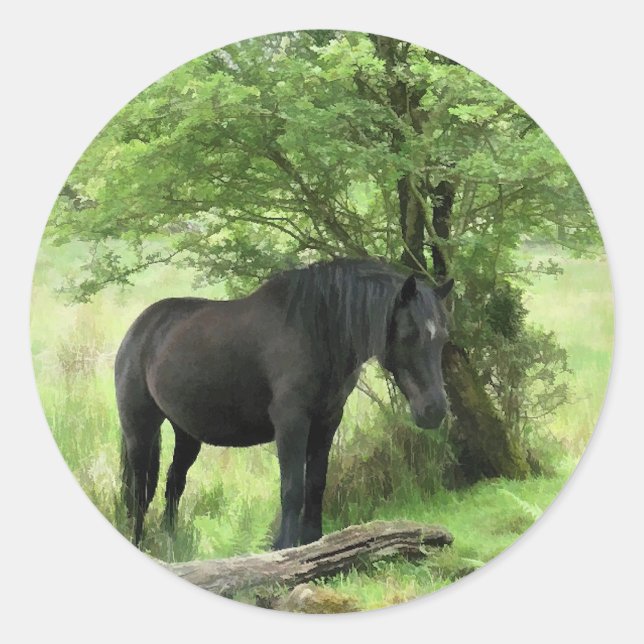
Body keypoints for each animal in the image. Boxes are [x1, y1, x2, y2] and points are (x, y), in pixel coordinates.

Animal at [116, 258, 454, 549]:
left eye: (442, 337)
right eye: (409, 334)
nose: (434, 410)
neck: (317, 331)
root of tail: (139, 329)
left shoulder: (327, 421)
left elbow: (316, 484)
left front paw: (313, 542)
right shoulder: (291, 422)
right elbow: (292, 488)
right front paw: (284, 547)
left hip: (186, 433)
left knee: (173, 484)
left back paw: (172, 545)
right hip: (139, 429)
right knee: (139, 492)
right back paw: (140, 543)